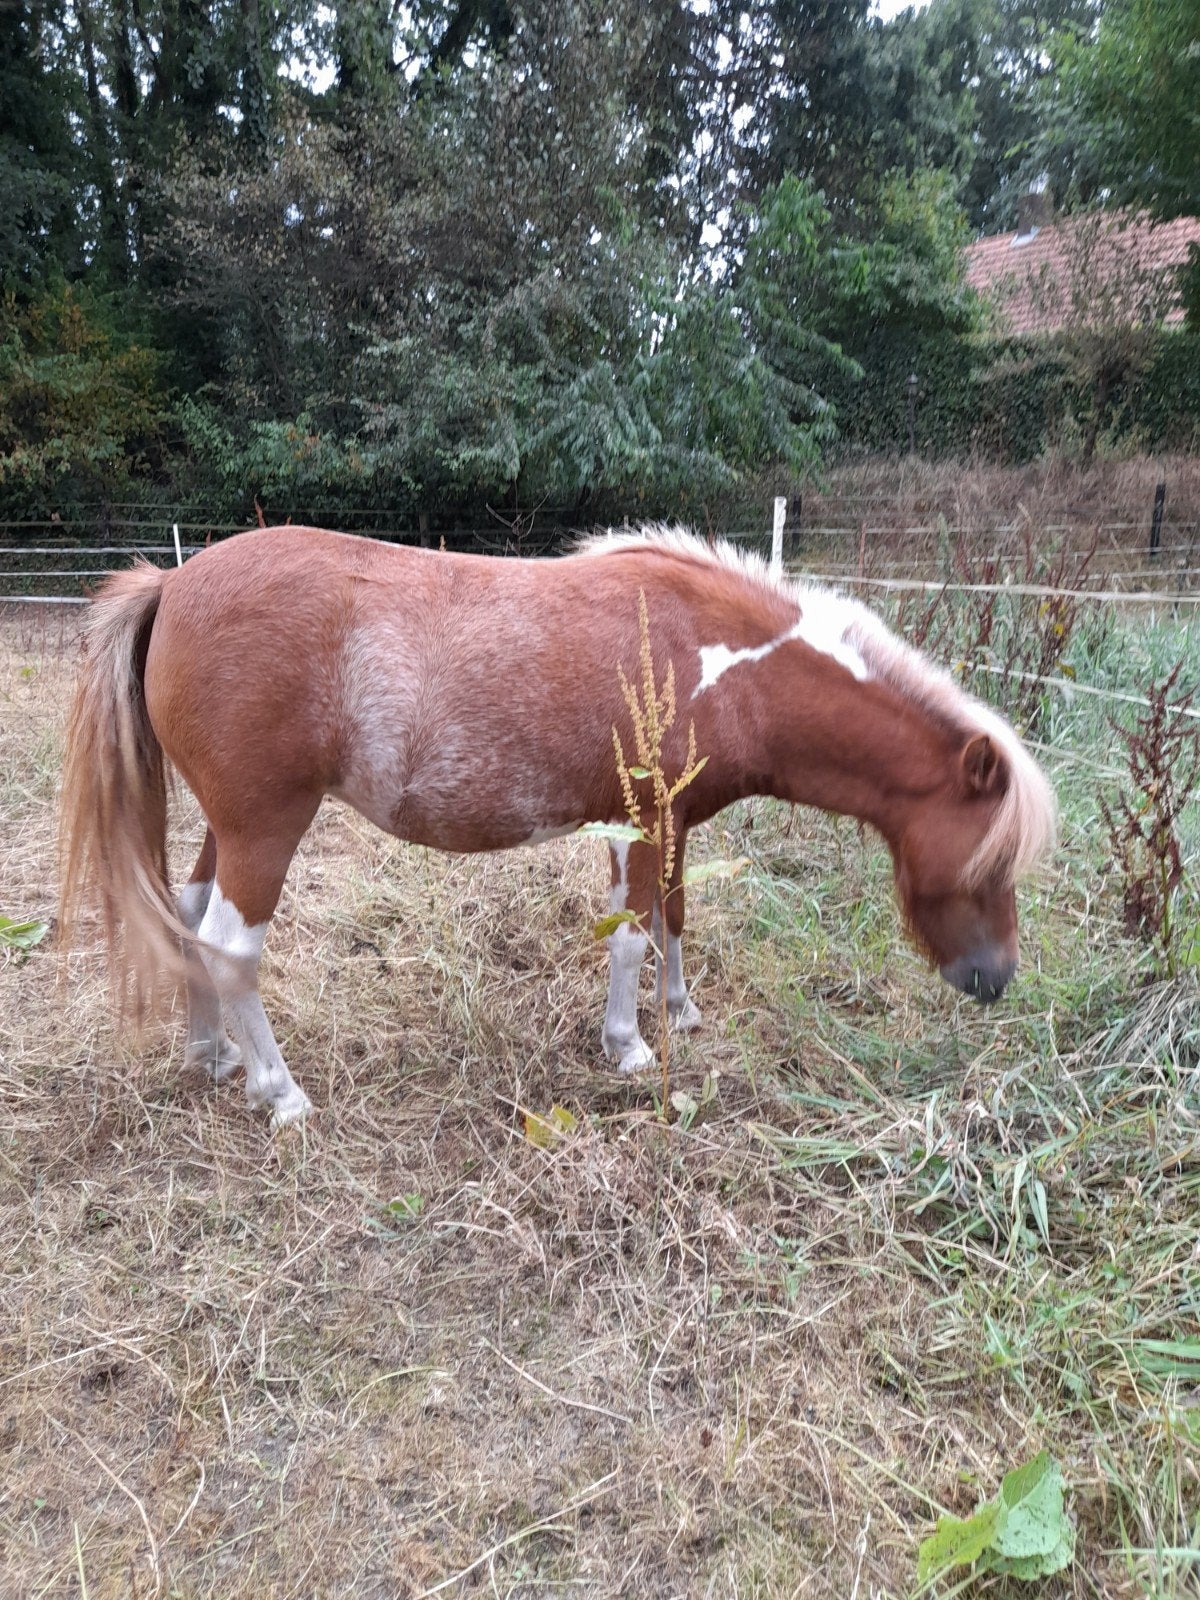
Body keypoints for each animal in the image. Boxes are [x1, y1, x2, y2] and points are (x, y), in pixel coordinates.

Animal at [59, 525, 1055, 1128]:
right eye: (988, 862)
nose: (996, 979)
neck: (717, 660)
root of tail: (173, 583)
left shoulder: (673, 821)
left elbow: (674, 918)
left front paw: (680, 1010)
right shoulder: (639, 821)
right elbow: (631, 934)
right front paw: (629, 1045)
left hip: (228, 828)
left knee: (189, 919)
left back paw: (211, 1056)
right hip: (266, 826)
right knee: (231, 946)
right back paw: (281, 1091)